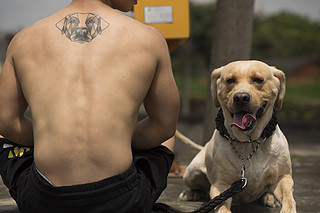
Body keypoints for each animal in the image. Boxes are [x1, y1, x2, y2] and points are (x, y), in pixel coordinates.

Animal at [179, 60, 296, 213]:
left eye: (258, 80)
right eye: (230, 80)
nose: (241, 97)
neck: (249, 142)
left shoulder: (283, 177)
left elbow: (288, 198)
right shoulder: (221, 185)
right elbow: (221, 206)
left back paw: (269, 197)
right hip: (191, 173)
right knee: (198, 186)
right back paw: (190, 192)